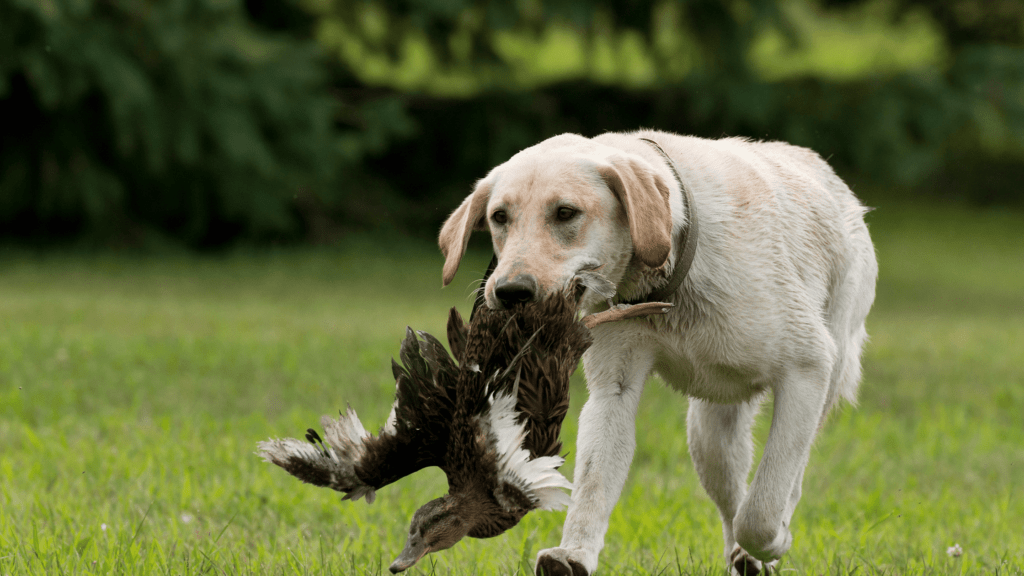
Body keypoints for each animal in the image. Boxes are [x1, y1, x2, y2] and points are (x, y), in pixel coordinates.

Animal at [436, 130, 876, 573]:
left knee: (782, 485)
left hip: (820, 381)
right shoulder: (612, 393)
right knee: (731, 499)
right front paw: (573, 553)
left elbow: (763, 508)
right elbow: (593, 484)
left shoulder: (807, 369)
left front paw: (774, 541)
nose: (510, 292)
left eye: (565, 213)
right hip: (709, 438)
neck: (669, 282)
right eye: (499, 217)